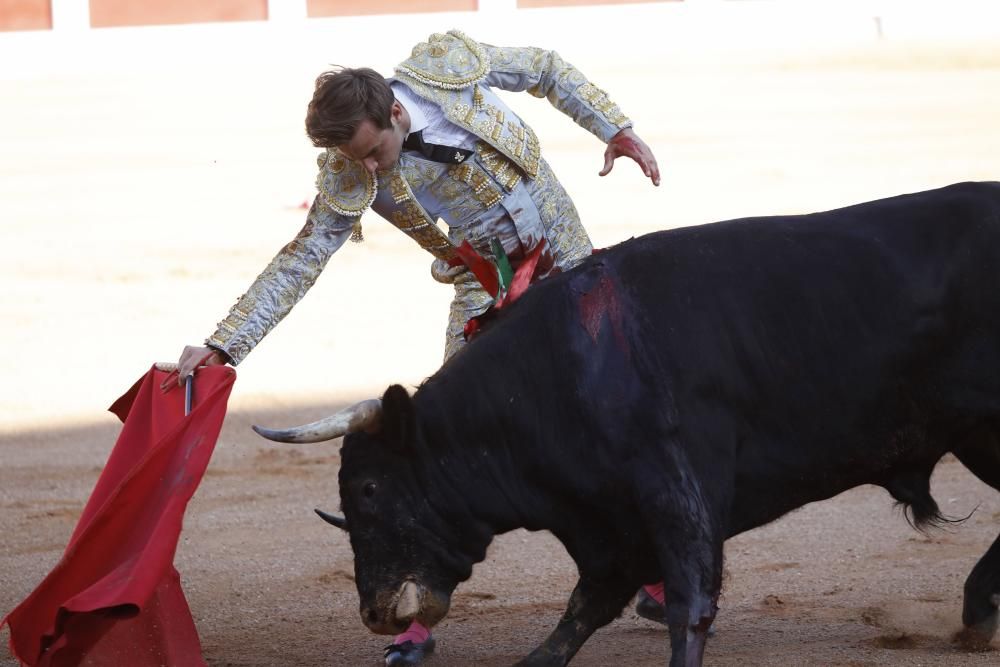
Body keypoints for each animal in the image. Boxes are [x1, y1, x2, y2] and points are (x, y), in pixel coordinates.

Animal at [254, 183, 996, 667]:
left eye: (370, 490)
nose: (373, 613)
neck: (558, 375)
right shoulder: (609, 531)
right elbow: (574, 620)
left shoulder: (676, 496)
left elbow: (689, 606)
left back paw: (976, 613)